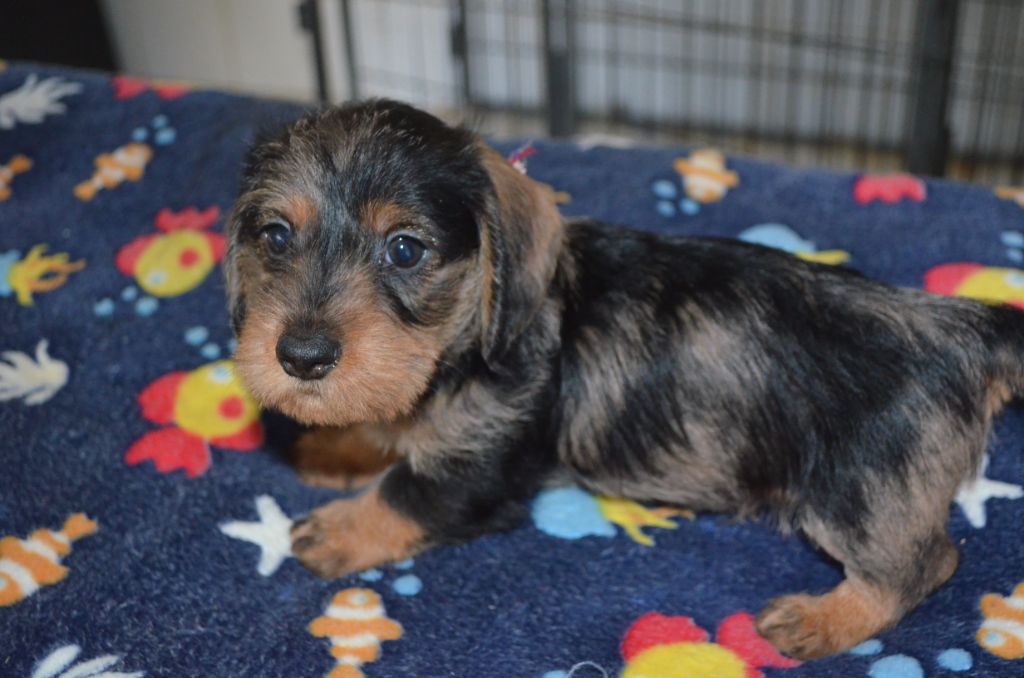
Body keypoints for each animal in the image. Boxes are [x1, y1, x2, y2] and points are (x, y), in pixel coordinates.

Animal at [224, 99, 1024, 660]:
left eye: (404, 250)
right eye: (274, 237)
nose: (301, 355)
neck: (472, 339)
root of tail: (964, 328)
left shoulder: (481, 469)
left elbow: (402, 493)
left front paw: (335, 528)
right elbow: (382, 424)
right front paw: (333, 447)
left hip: (858, 491)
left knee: (923, 563)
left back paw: (822, 619)